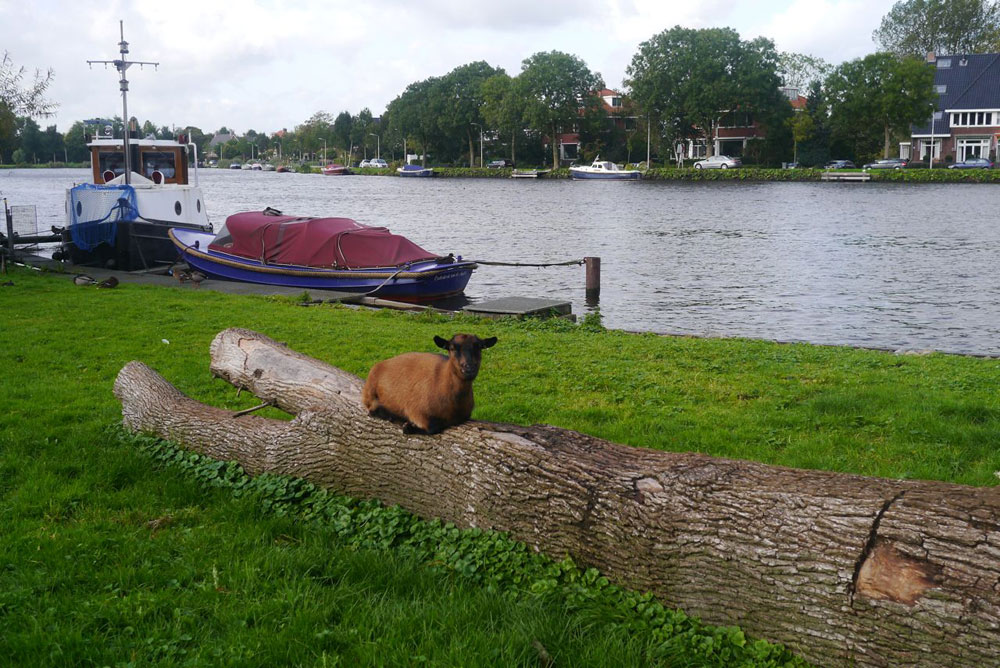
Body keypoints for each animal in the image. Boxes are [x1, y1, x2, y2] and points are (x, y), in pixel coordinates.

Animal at [362, 334, 498, 434]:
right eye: (452, 348)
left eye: (480, 347)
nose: (468, 368)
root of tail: (383, 363)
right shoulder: (416, 409)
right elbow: (431, 427)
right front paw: (409, 427)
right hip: (370, 390)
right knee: (371, 409)